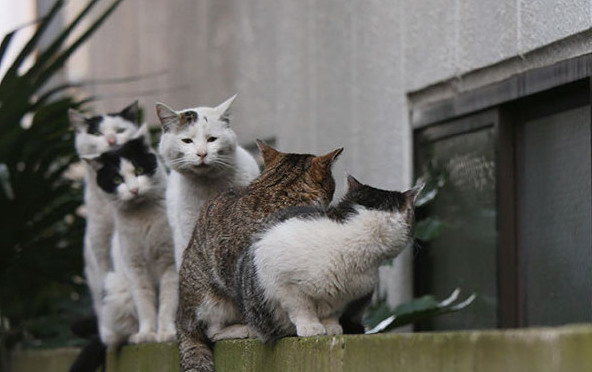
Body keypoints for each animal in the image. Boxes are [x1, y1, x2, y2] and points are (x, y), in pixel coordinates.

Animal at [82, 131, 178, 346]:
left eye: (139, 170)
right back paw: (131, 336)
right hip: (117, 288)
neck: (143, 218)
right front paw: (146, 334)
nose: (134, 190)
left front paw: (166, 333)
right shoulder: (135, 267)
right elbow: (144, 303)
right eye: (117, 179)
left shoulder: (170, 264)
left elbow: (167, 302)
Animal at [235, 176, 420, 342]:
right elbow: (303, 308)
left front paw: (331, 327)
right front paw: (311, 327)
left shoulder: (344, 295)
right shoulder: (286, 284)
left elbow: (331, 313)